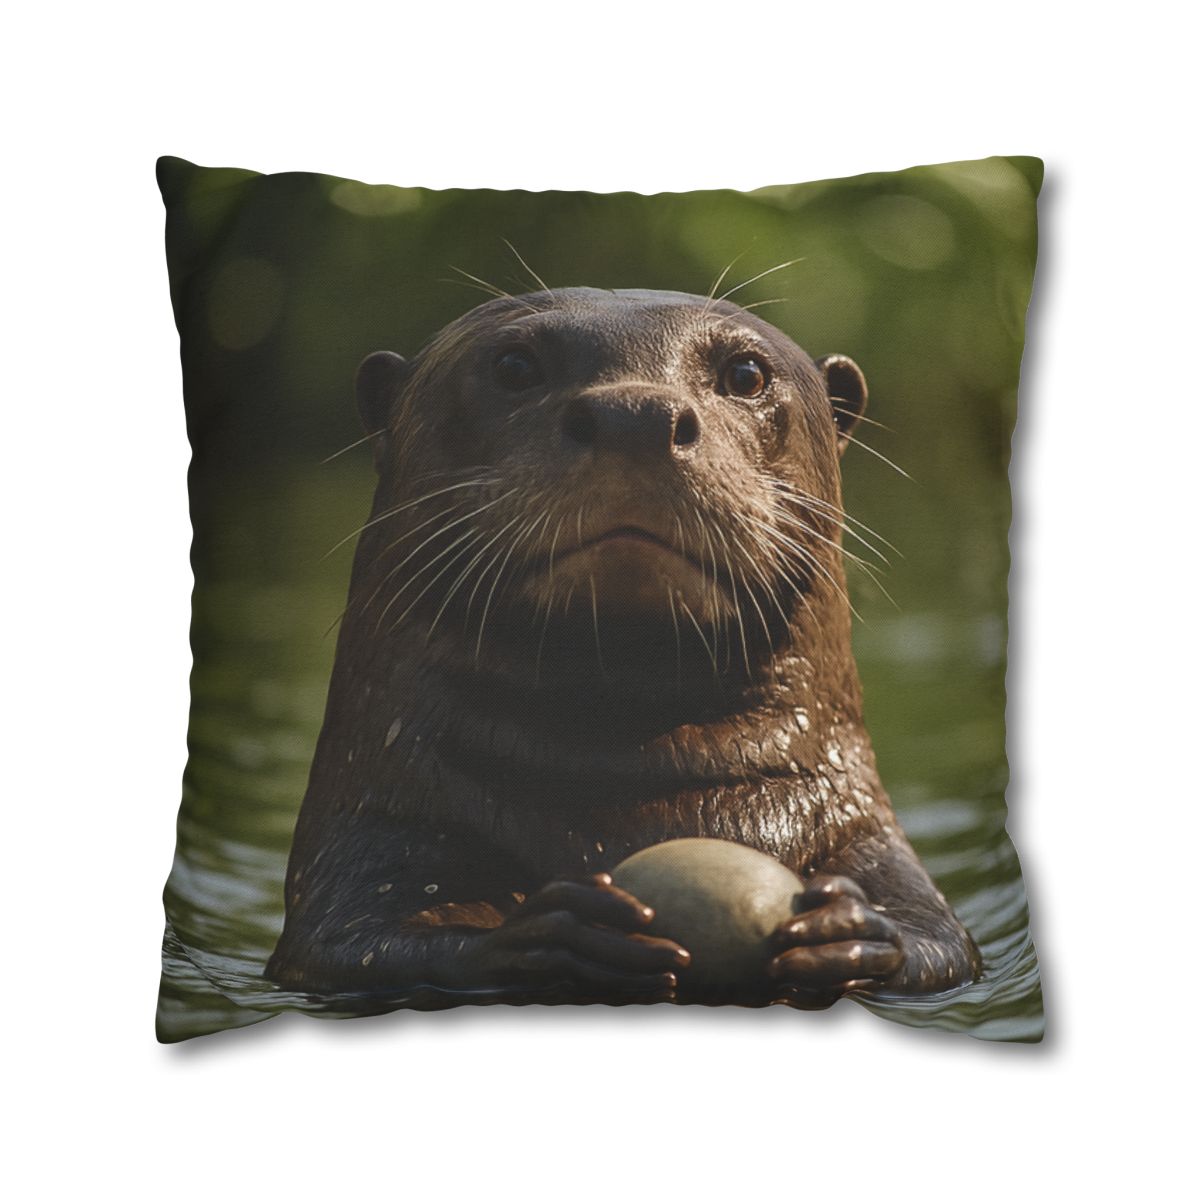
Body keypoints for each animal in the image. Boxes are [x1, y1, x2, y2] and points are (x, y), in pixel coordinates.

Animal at [266, 287, 981, 1007]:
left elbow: (940, 944)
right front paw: (562, 932)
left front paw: (844, 931)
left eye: (746, 374)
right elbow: (360, 942)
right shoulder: (372, 837)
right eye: (515, 365)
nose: (635, 414)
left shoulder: (866, 836)